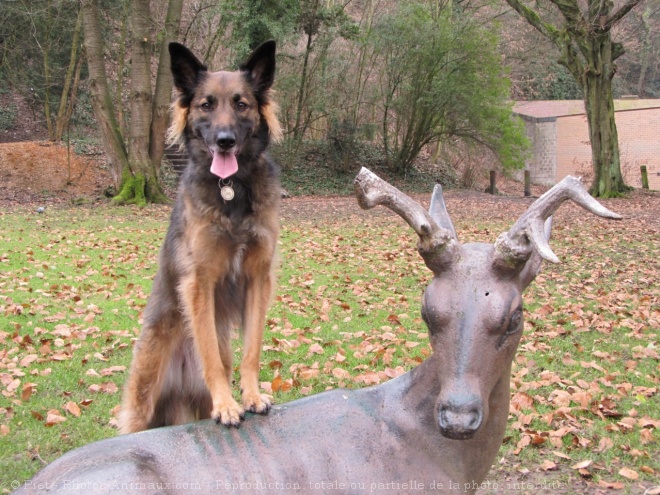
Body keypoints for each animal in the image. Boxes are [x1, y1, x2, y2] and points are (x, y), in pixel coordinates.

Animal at [118, 40, 282, 432]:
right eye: (206, 104)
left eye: (241, 104)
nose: (224, 141)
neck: (231, 189)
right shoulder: (200, 282)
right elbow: (208, 353)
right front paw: (226, 404)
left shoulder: (258, 277)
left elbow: (251, 350)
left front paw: (251, 396)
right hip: (144, 396)